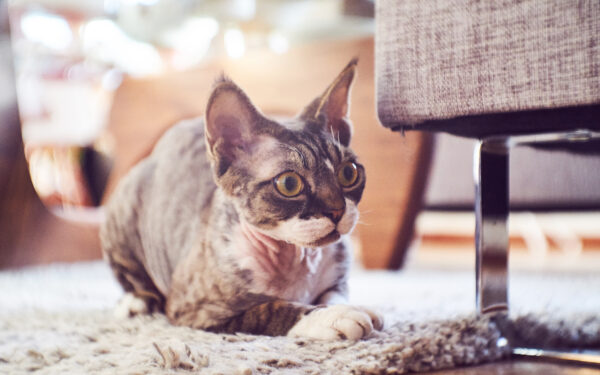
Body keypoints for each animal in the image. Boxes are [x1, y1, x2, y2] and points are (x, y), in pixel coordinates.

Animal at [100, 58, 382, 340]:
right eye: (289, 184)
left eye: (349, 173)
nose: (337, 210)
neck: (296, 257)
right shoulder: (195, 309)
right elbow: (269, 309)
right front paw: (330, 317)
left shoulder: (337, 281)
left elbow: (335, 295)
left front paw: (355, 309)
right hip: (122, 210)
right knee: (131, 277)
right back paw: (135, 302)